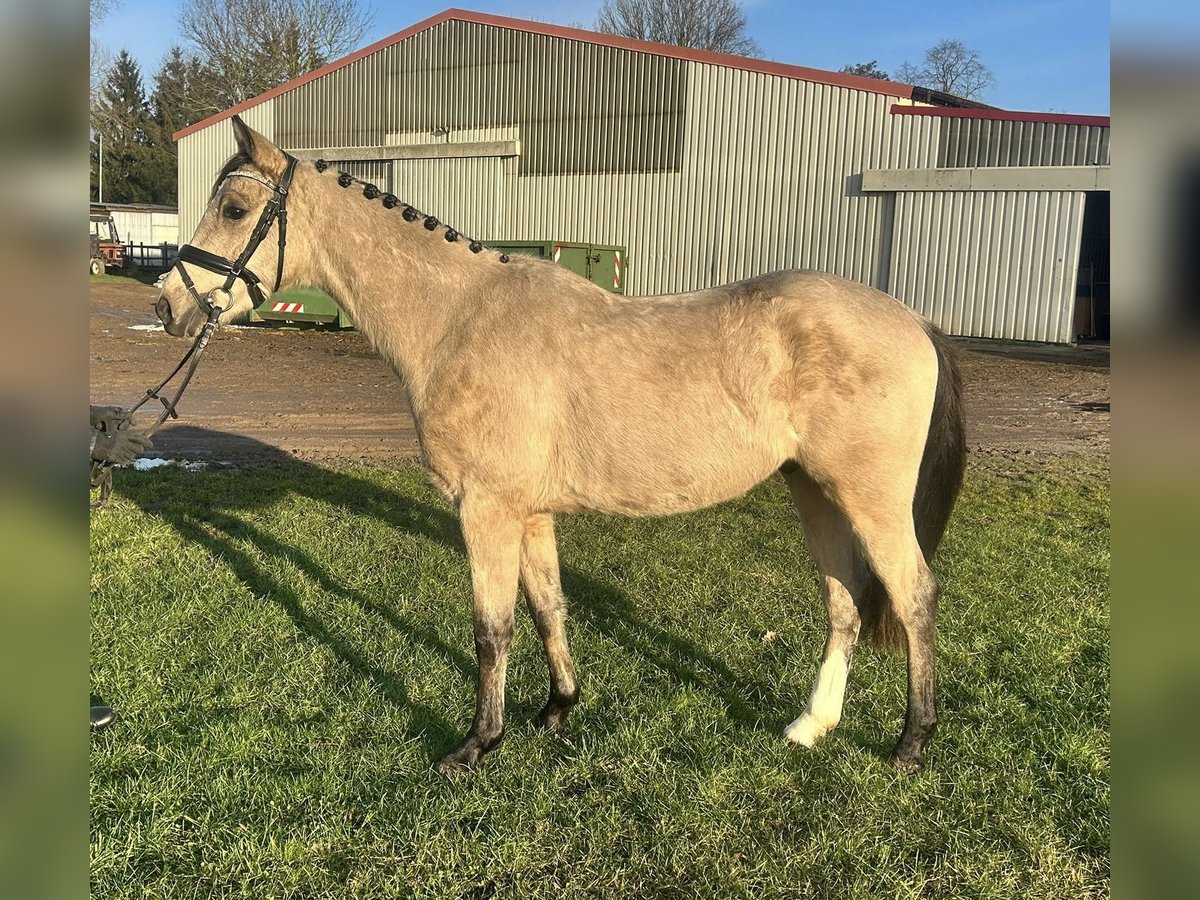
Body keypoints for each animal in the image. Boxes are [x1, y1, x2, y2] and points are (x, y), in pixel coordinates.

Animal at [152, 116, 964, 777]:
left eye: (234, 208)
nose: (167, 303)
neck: (459, 319)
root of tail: (914, 321)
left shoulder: (485, 509)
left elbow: (492, 629)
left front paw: (477, 744)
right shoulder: (530, 512)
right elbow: (548, 607)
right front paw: (556, 709)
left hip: (870, 499)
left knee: (912, 596)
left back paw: (911, 743)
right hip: (813, 490)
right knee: (845, 601)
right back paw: (811, 725)